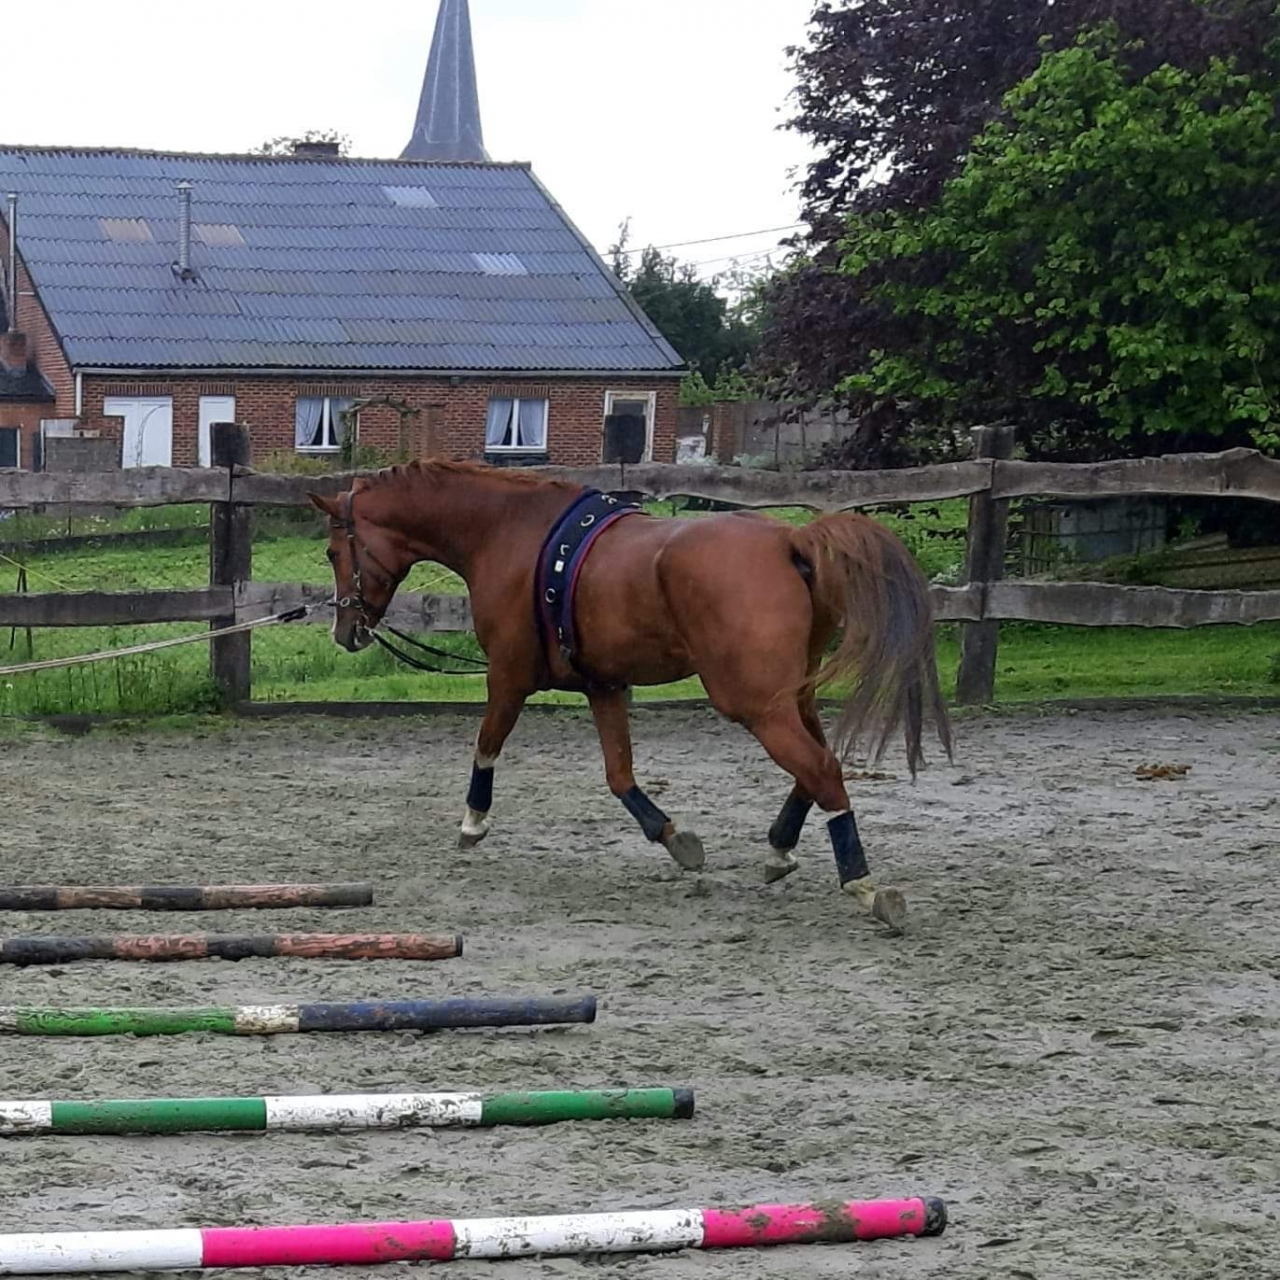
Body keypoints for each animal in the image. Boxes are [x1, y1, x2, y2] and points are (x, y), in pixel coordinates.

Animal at [308, 460, 952, 928]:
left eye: (334, 552)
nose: (345, 631)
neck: (508, 532)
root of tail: (791, 540)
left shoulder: (508, 676)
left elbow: (487, 744)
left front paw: (473, 822)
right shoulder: (604, 685)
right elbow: (620, 777)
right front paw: (674, 839)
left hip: (756, 703)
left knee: (820, 769)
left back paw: (862, 885)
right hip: (791, 697)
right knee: (820, 764)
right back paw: (779, 851)